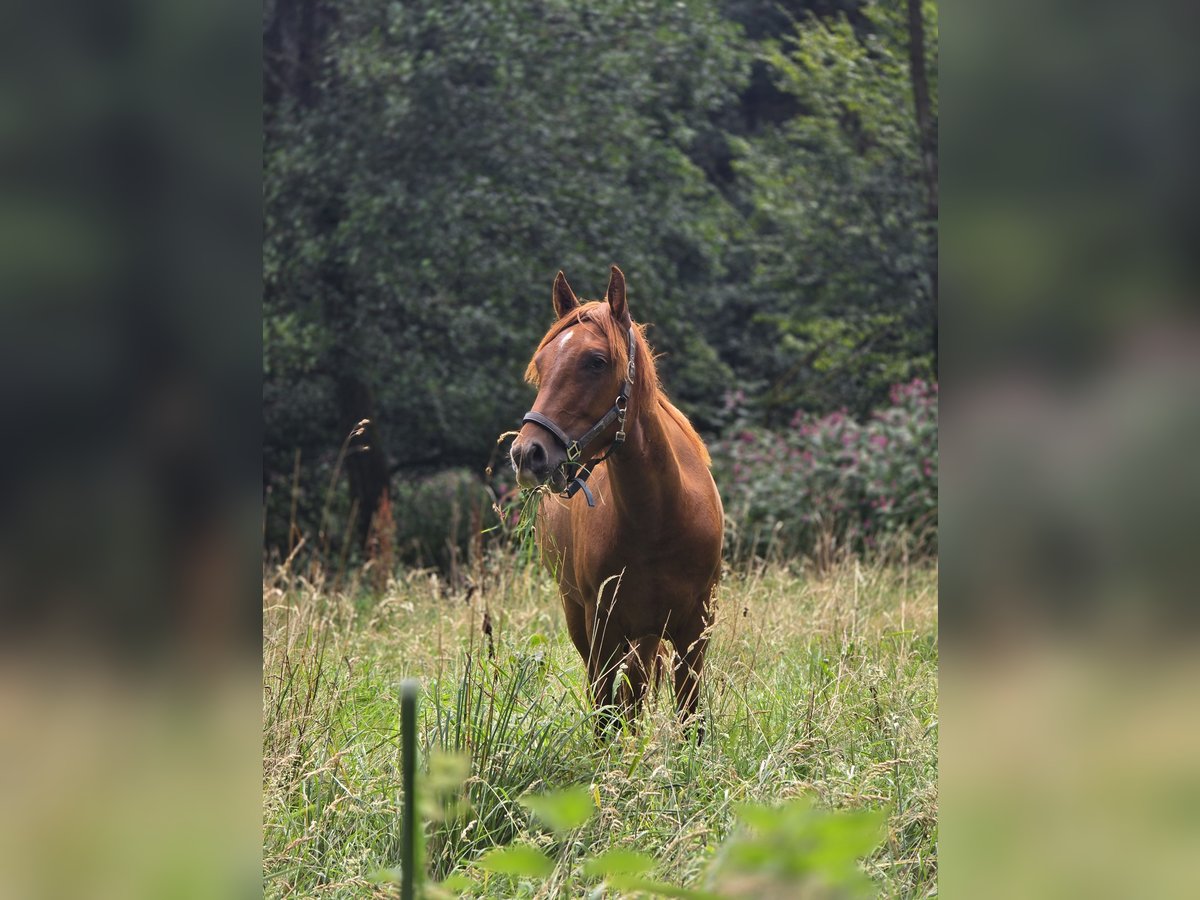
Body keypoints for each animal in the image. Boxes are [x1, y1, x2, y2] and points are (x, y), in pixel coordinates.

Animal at [508, 267, 720, 739]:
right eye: (542, 365)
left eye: (596, 361)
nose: (528, 454)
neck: (659, 520)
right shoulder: (602, 629)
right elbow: (607, 719)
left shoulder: (693, 631)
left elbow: (690, 720)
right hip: (585, 619)